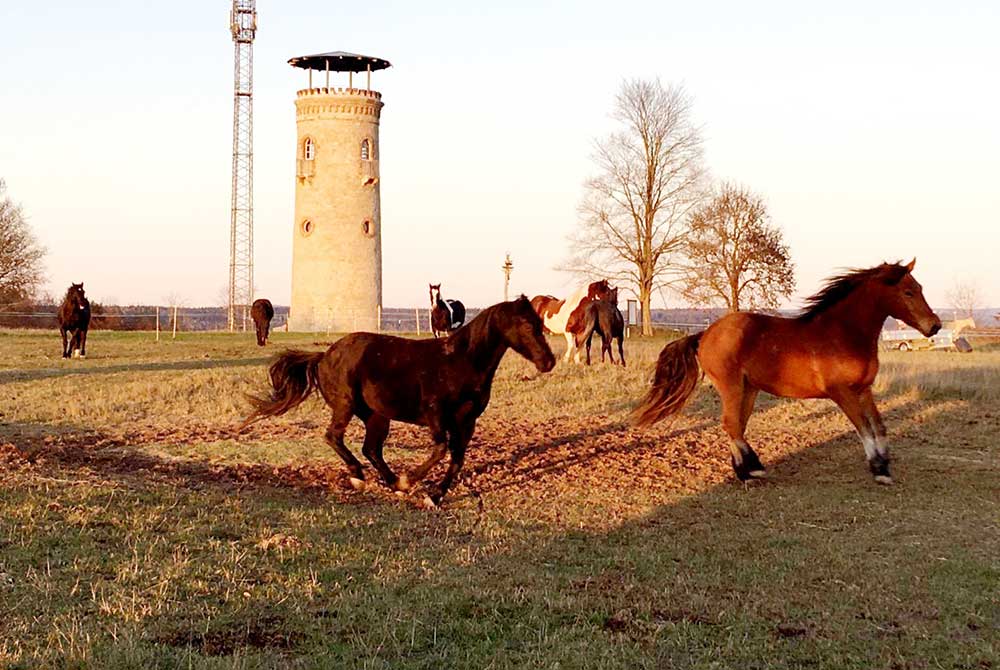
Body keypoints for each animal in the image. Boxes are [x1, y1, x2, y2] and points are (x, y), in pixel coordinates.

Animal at [241, 296, 556, 506]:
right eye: (526, 324)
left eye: (540, 323)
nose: (548, 362)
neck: (459, 361)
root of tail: (323, 356)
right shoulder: (435, 415)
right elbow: (440, 450)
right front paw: (413, 482)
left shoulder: (467, 422)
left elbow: (457, 459)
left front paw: (433, 496)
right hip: (346, 406)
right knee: (334, 437)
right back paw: (360, 477)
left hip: (377, 416)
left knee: (371, 449)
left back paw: (391, 481)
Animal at [636, 260, 940, 486]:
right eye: (908, 292)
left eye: (920, 288)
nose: (935, 326)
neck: (844, 333)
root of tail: (705, 334)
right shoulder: (841, 392)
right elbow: (864, 428)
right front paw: (878, 469)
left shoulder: (863, 390)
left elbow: (879, 426)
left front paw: (884, 467)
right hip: (731, 386)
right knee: (730, 423)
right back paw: (750, 471)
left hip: (749, 388)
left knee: (737, 425)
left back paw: (746, 469)